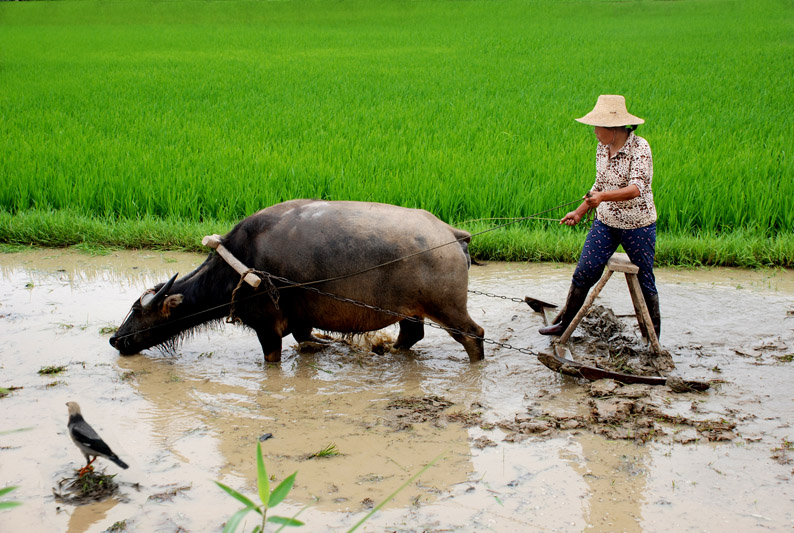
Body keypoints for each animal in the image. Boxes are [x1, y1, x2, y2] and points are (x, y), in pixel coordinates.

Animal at [109, 198, 482, 362]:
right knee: (411, 334)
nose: (115, 339)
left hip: (447, 309)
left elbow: (272, 356)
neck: (239, 266)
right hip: (411, 310)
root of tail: (451, 234)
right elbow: (306, 340)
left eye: (139, 312)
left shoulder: (266, 327)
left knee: (473, 335)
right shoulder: (301, 320)